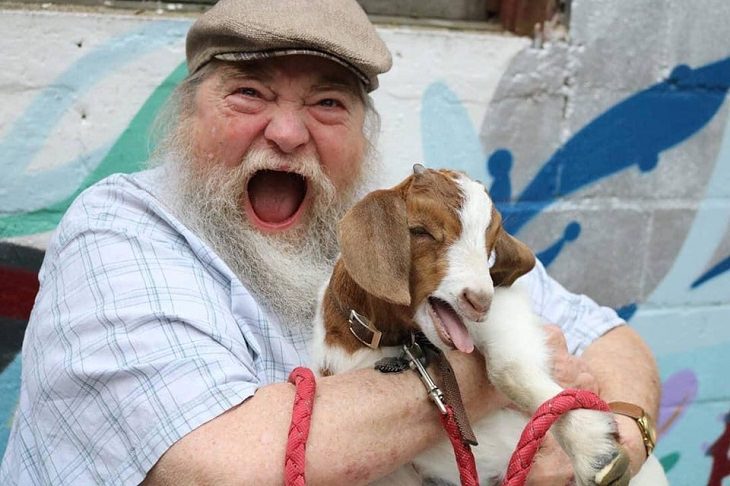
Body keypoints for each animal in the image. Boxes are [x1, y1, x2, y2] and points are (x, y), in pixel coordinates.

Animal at [312, 168, 632, 486]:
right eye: (420, 230)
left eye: (490, 245)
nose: (479, 301)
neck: (396, 339)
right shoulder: (394, 473)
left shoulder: (505, 306)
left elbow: (507, 369)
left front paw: (594, 449)